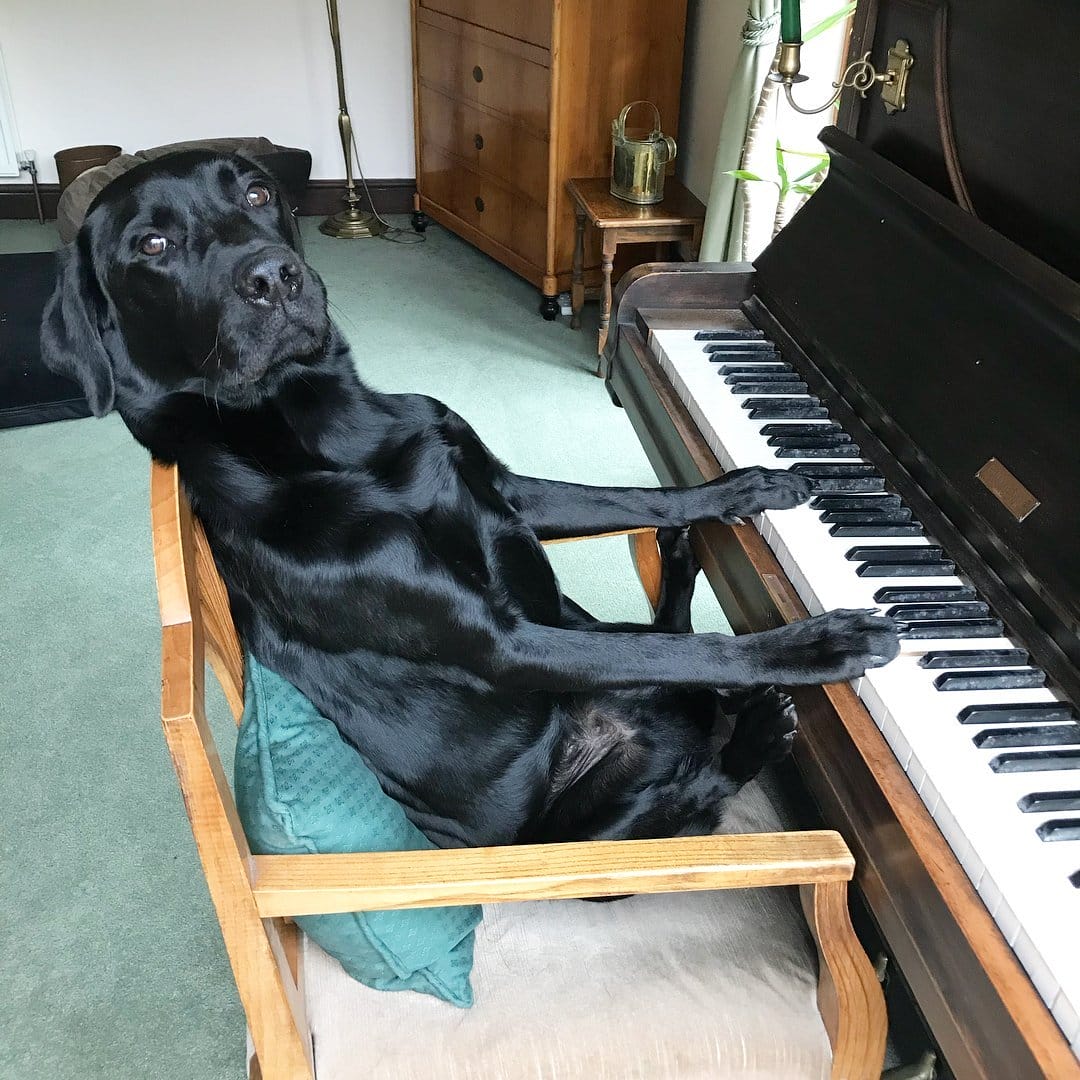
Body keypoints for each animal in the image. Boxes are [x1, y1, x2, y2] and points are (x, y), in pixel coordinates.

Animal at [41, 151, 899, 848]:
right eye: (151, 246)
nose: (275, 276)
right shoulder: (503, 640)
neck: (326, 431)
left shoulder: (506, 490)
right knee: (695, 763)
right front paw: (817, 646)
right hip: (587, 825)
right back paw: (754, 730)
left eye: (257, 193)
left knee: (665, 638)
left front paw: (746, 485)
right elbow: (700, 650)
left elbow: (637, 495)